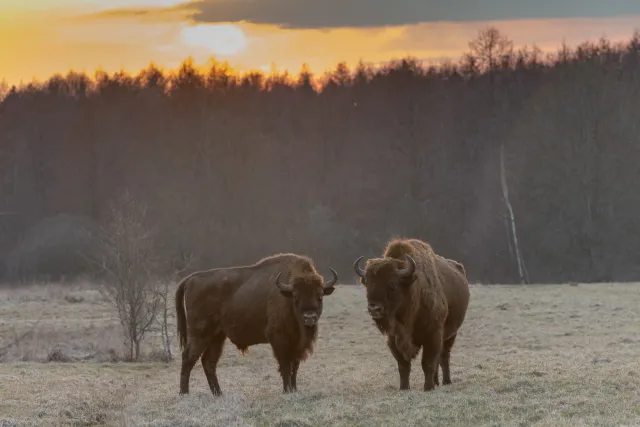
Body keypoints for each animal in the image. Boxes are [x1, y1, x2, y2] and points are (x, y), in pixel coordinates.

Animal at [172, 252, 338, 396]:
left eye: (320, 296)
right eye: (296, 297)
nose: (309, 317)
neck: (287, 295)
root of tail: (191, 279)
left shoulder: (297, 345)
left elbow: (294, 368)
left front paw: (294, 390)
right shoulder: (279, 340)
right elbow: (285, 366)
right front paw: (287, 391)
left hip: (217, 336)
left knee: (209, 362)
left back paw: (218, 394)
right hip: (200, 333)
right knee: (188, 358)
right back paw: (184, 393)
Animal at [352, 239, 468, 392]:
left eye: (393, 284)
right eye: (367, 283)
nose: (374, 308)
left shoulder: (433, 335)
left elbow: (428, 363)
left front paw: (428, 388)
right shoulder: (393, 339)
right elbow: (403, 365)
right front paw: (404, 388)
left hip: (451, 334)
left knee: (444, 356)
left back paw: (446, 381)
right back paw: (437, 382)